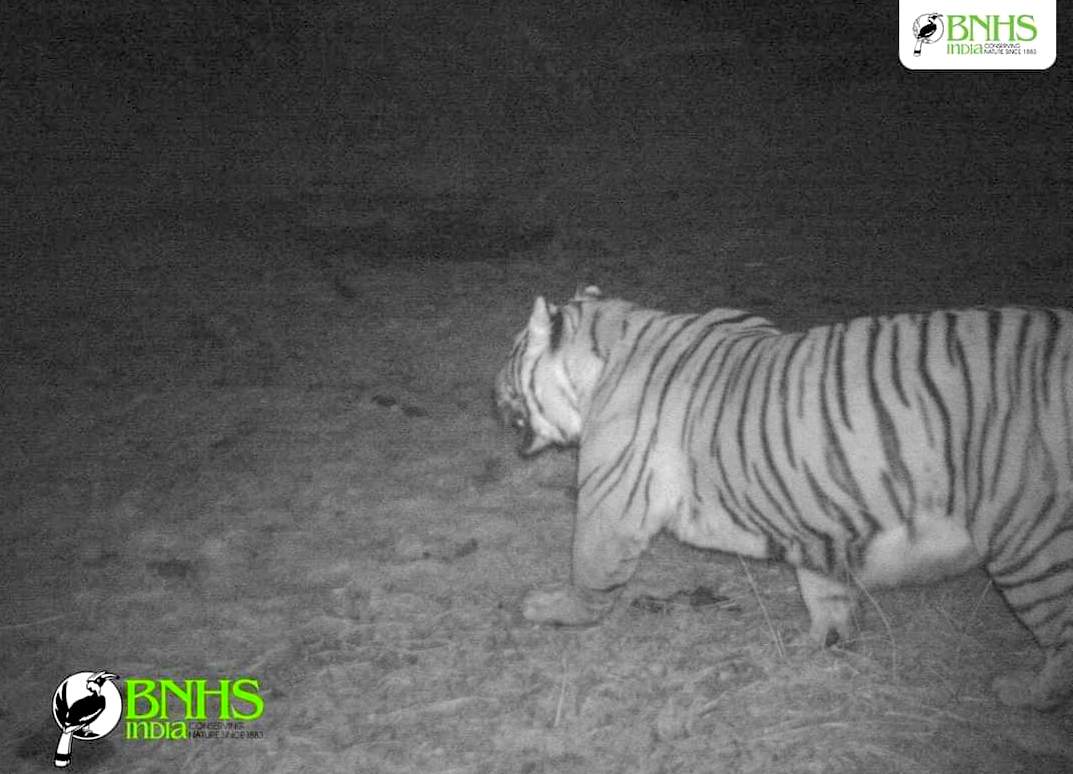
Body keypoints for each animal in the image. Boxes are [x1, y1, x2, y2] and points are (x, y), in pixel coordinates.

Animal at [494, 285, 1073, 711]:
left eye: (514, 353)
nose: (491, 391)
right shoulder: (820, 513)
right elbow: (825, 593)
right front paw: (821, 646)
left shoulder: (611, 502)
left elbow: (588, 569)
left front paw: (552, 608)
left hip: (1030, 542)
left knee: (1062, 636)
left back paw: (1027, 694)